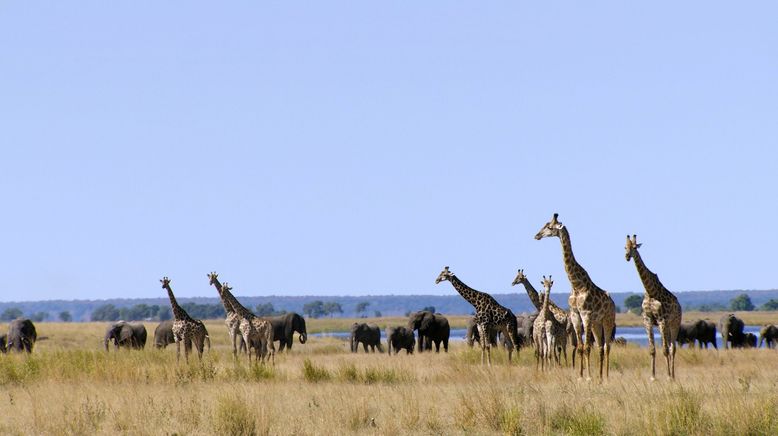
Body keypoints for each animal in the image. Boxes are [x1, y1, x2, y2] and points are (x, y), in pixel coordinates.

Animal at [532, 213, 616, 380]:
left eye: (549, 227)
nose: (537, 235)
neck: (576, 285)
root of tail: (613, 303)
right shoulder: (576, 315)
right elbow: (580, 347)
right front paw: (581, 376)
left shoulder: (586, 315)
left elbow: (587, 347)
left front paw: (588, 377)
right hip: (597, 323)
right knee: (600, 347)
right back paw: (600, 377)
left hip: (607, 320)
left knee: (607, 346)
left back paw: (606, 376)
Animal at [624, 233, 680, 380]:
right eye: (625, 247)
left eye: (634, 247)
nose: (627, 256)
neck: (650, 291)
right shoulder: (647, 320)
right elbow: (652, 350)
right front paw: (653, 377)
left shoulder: (662, 320)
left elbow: (665, 350)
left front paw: (668, 376)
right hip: (667, 327)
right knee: (669, 346)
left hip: (674, 324)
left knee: (672, 348)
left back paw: (673, 375)